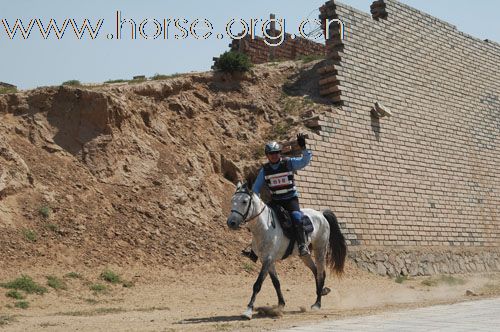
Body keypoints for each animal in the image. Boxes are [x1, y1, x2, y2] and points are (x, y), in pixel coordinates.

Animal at [228, 182, 348, 320]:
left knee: (321, 274)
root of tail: (321, 214)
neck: (264, 227)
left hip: (320, 250)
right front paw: (281, 304)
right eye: (232, 200)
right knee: (315, 271)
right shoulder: (267, 261)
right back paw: (321, 291)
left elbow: (257, 284)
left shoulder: (268, 259)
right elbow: (276, 283)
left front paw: (248, 310)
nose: (231, 222)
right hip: (305, 255)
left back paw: (317, 304)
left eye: (244, 201)